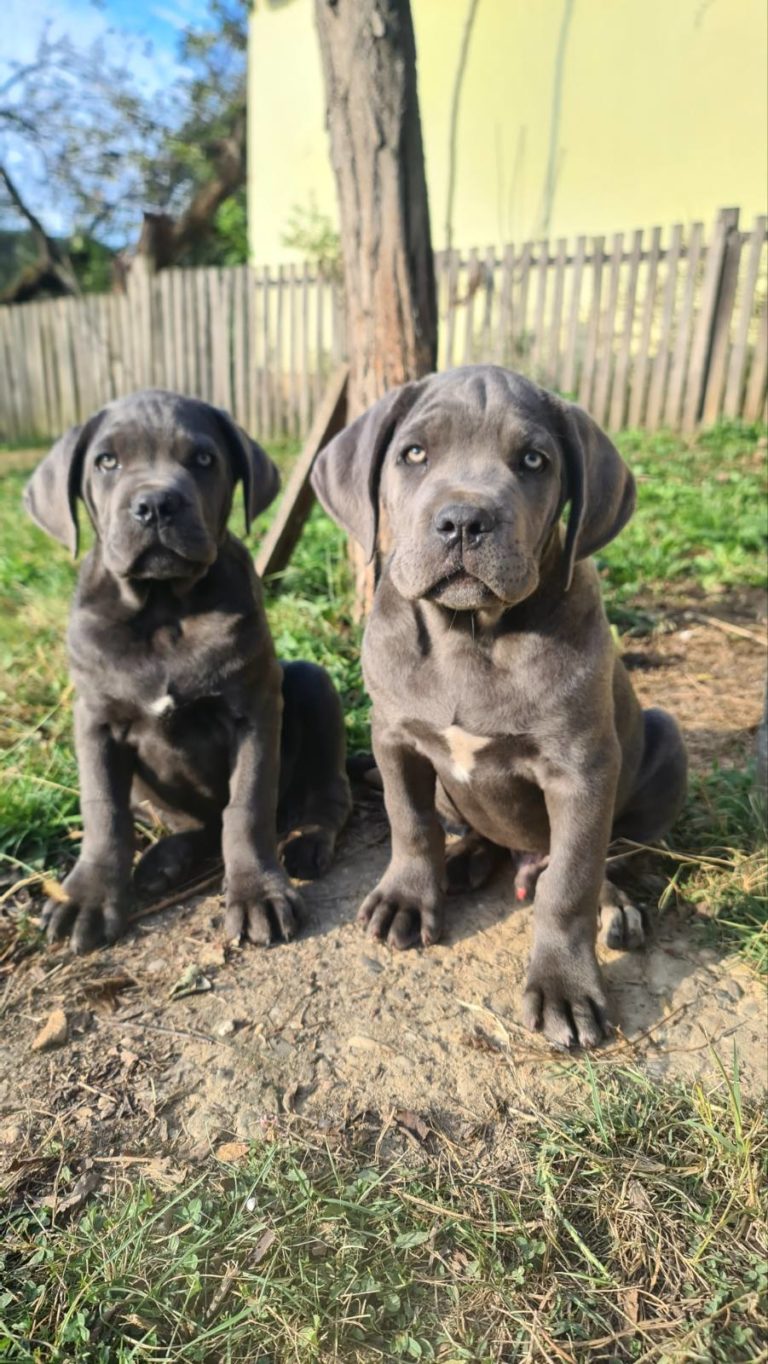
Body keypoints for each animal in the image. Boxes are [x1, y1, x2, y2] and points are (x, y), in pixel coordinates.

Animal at [22, 390, 349, 954]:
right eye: (106, 461)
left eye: (203, 459)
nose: (155, 504)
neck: (162, 609)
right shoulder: (95, 722)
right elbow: (102, 812)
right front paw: (87, 897)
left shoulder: (253, 711)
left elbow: (247, 807)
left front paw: (257, 893)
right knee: (190, 825)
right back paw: (164, 861)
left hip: (312, 682)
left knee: (325, 791)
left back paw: (307, 838)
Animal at [312, 365, 690, 1053]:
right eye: (413, 453)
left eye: (534, 460)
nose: (463, 521)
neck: (469, 636)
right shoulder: (393, 738)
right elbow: (410, 823)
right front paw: (408, 898)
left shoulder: (582, 770)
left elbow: (570, 881)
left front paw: (565, 986)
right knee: (466, 830)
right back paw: (463, 861)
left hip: (665, 739)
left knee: (603, 858)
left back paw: (612, 902)